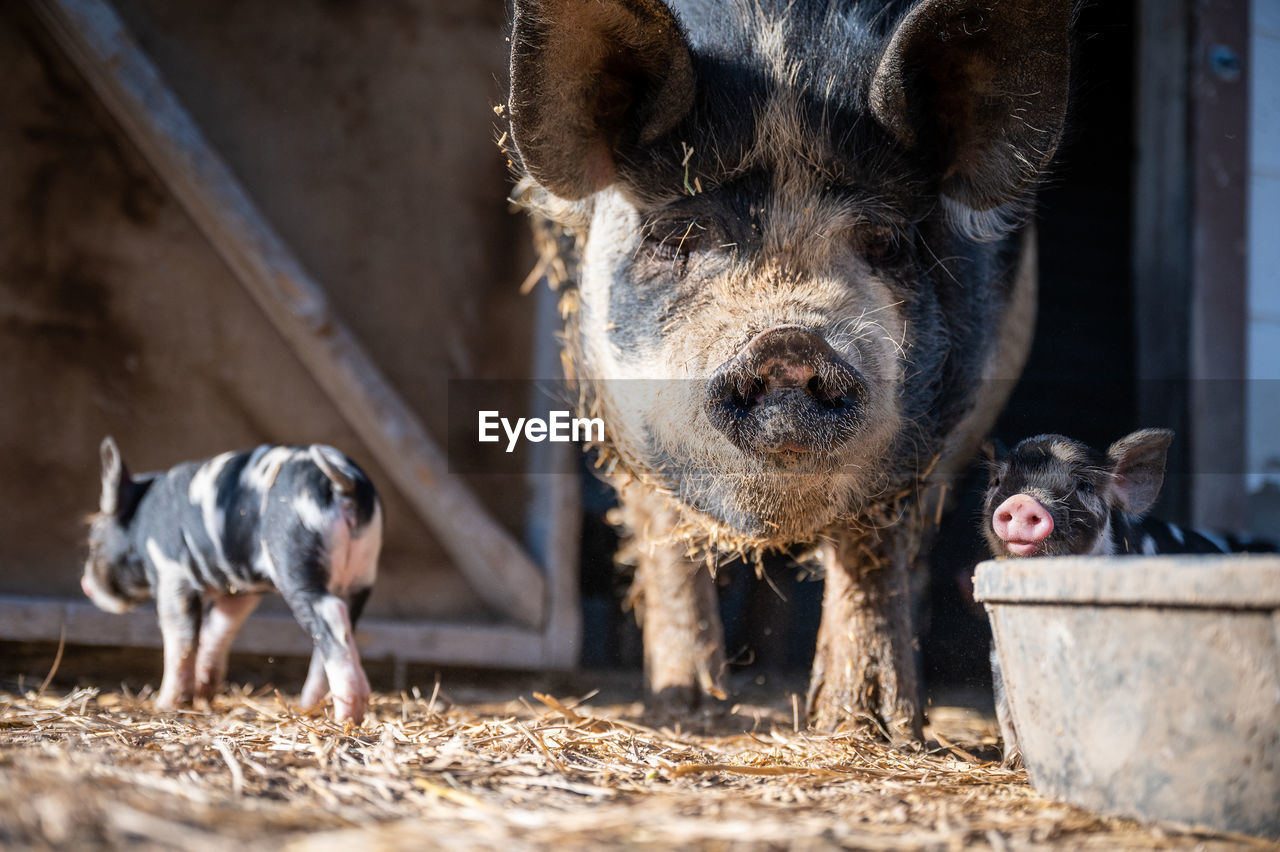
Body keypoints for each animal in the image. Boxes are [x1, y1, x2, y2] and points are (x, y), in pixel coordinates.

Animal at [80, 437, 376, 721]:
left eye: (93, 541)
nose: (85, 585)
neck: (141, 524)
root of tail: (343, 483)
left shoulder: (171, 574)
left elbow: (181, 639)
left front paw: (166, 705)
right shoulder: (240, 588)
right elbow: (219, 628)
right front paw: (202, 695)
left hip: (297, 564)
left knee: (331, 617)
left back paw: (347, 715)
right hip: (360, 576)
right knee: (337, 631)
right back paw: (311, 708)